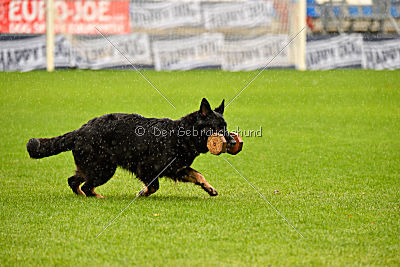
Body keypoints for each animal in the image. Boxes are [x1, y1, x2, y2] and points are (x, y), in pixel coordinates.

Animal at [26, 99, 234, 199]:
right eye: (217, 128)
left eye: (225, 126)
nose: (232, 142)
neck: (180, 134)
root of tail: (79, 131)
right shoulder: (146, 169)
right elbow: (153, 186)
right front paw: (142, 193)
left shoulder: (178, 169)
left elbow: (199, 175)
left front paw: (209, 188)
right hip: (104, 169)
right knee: (85, 185)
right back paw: (95, 196)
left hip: (92, 168)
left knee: (73, 181)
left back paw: (83, 196)